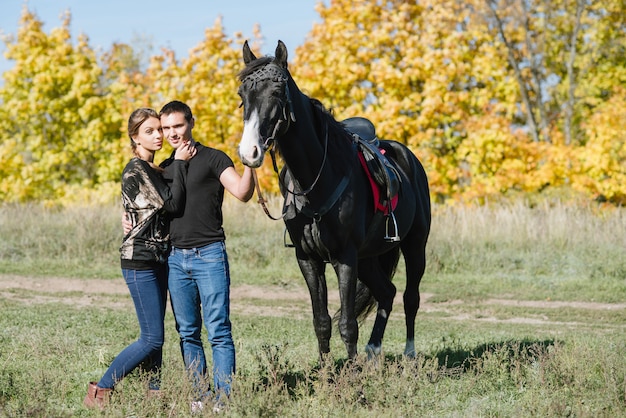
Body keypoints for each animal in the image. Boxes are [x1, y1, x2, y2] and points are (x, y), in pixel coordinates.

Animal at [235, 40, 428, 360]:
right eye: (242, 95)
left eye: (277, 91)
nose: (249, 152)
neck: (316, 178)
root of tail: (406, 156)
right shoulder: (308, 259)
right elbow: (322, 321)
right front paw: (326, 371)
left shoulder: (345, 257)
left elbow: (348, 325)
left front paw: (350, 373)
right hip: (369, 256)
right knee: (386, 292)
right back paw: (373, 350)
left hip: (414, 245)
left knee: (410, 298)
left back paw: (409, 353)